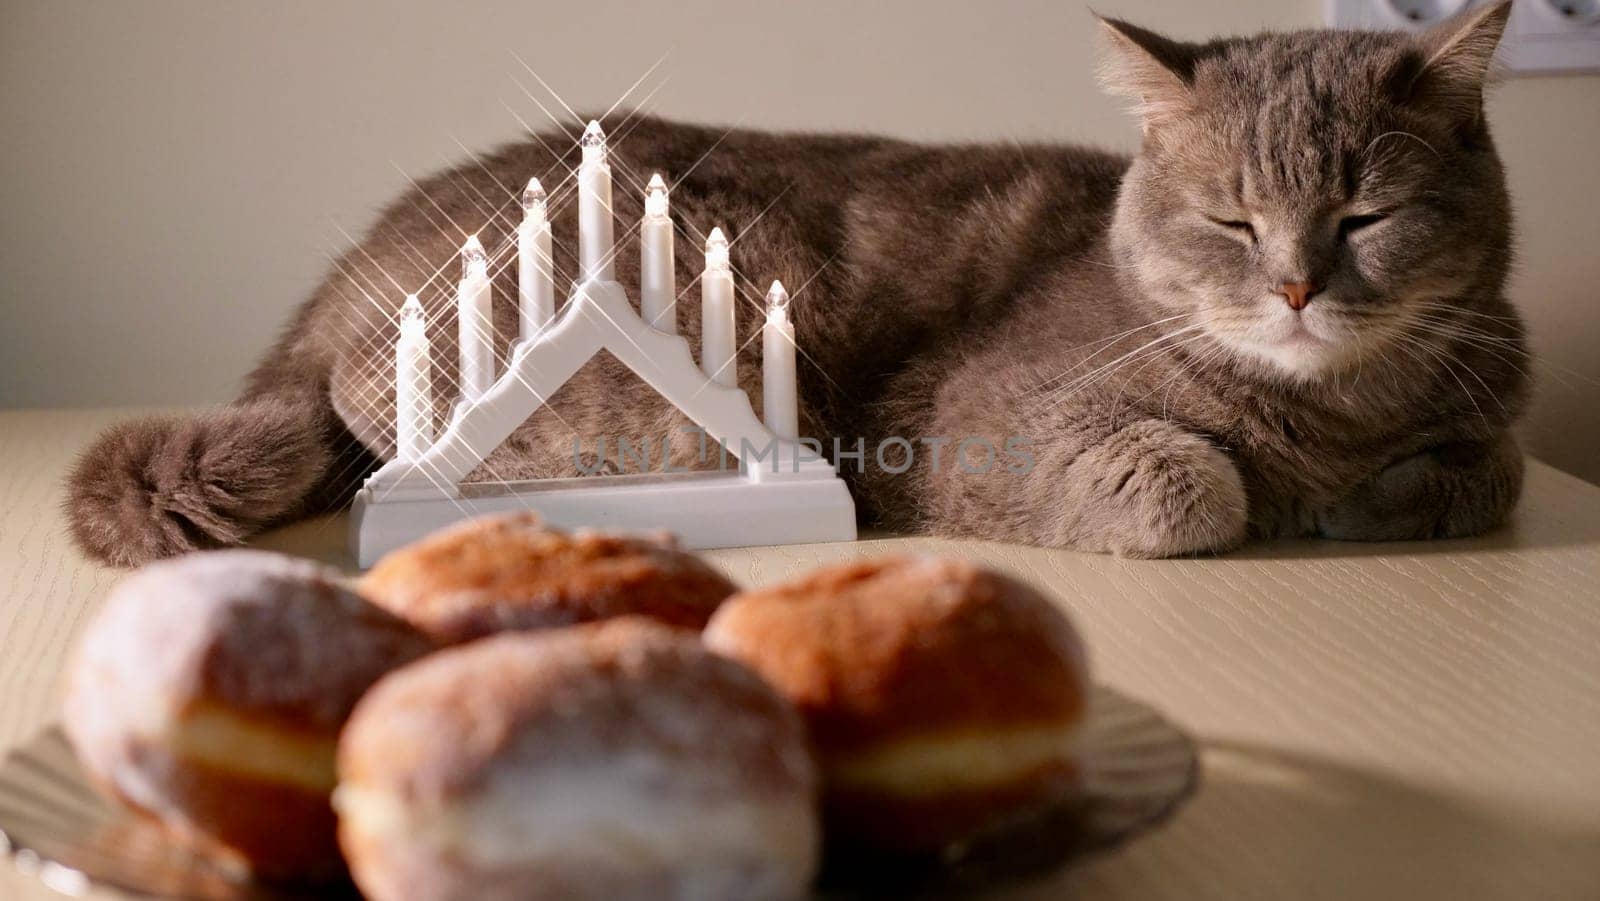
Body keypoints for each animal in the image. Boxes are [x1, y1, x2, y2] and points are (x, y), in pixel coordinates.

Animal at [68, 3, 1529, 563]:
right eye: (1233, 219)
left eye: (1365, 214)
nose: (1292, 289)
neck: (1329, 412)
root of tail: (336, 279)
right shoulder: (979, 420)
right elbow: (1192, 485)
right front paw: (1284, 498)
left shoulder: (1488, 395)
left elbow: (1491, 465)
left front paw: (1380, 495)